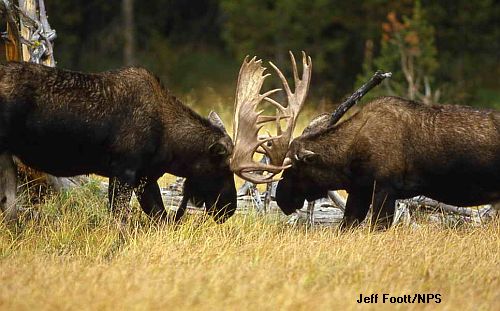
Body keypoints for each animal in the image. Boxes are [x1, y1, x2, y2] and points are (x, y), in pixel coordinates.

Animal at [0, 61, 236, 222]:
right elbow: (120, 219)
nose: (230, 209)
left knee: (8, 206)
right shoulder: (124, 171)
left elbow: (160, 217)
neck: (170, 146)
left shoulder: (144, 177)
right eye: (223, 168)